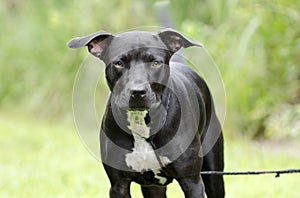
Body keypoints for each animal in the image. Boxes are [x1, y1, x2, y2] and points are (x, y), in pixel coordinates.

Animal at [67, 28, 223, 198]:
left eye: (155, 62)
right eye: (119, 63)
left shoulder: (192, 181)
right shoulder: (118, 185)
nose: (137, 92)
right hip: (153, 188)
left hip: (214, 174)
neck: (141, 122)